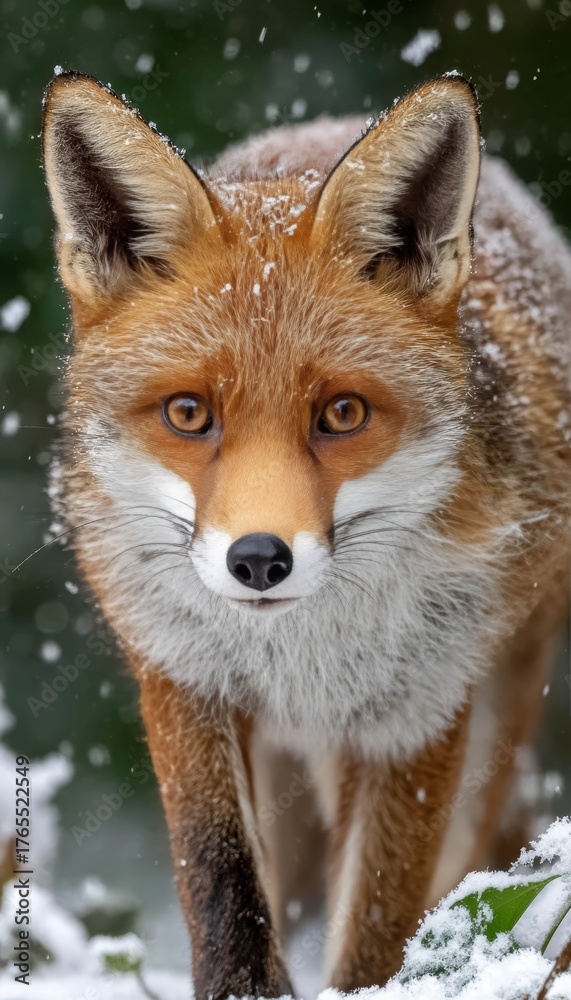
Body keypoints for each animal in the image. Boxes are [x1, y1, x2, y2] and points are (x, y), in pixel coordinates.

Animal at [41, 70, 571, 997]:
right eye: (189, 414)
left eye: (342, 414)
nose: (259, 560)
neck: (301, 660)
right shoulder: (183, 682)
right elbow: (224, 895)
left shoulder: (416, 716)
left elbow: (374, 935)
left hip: (499, 702)